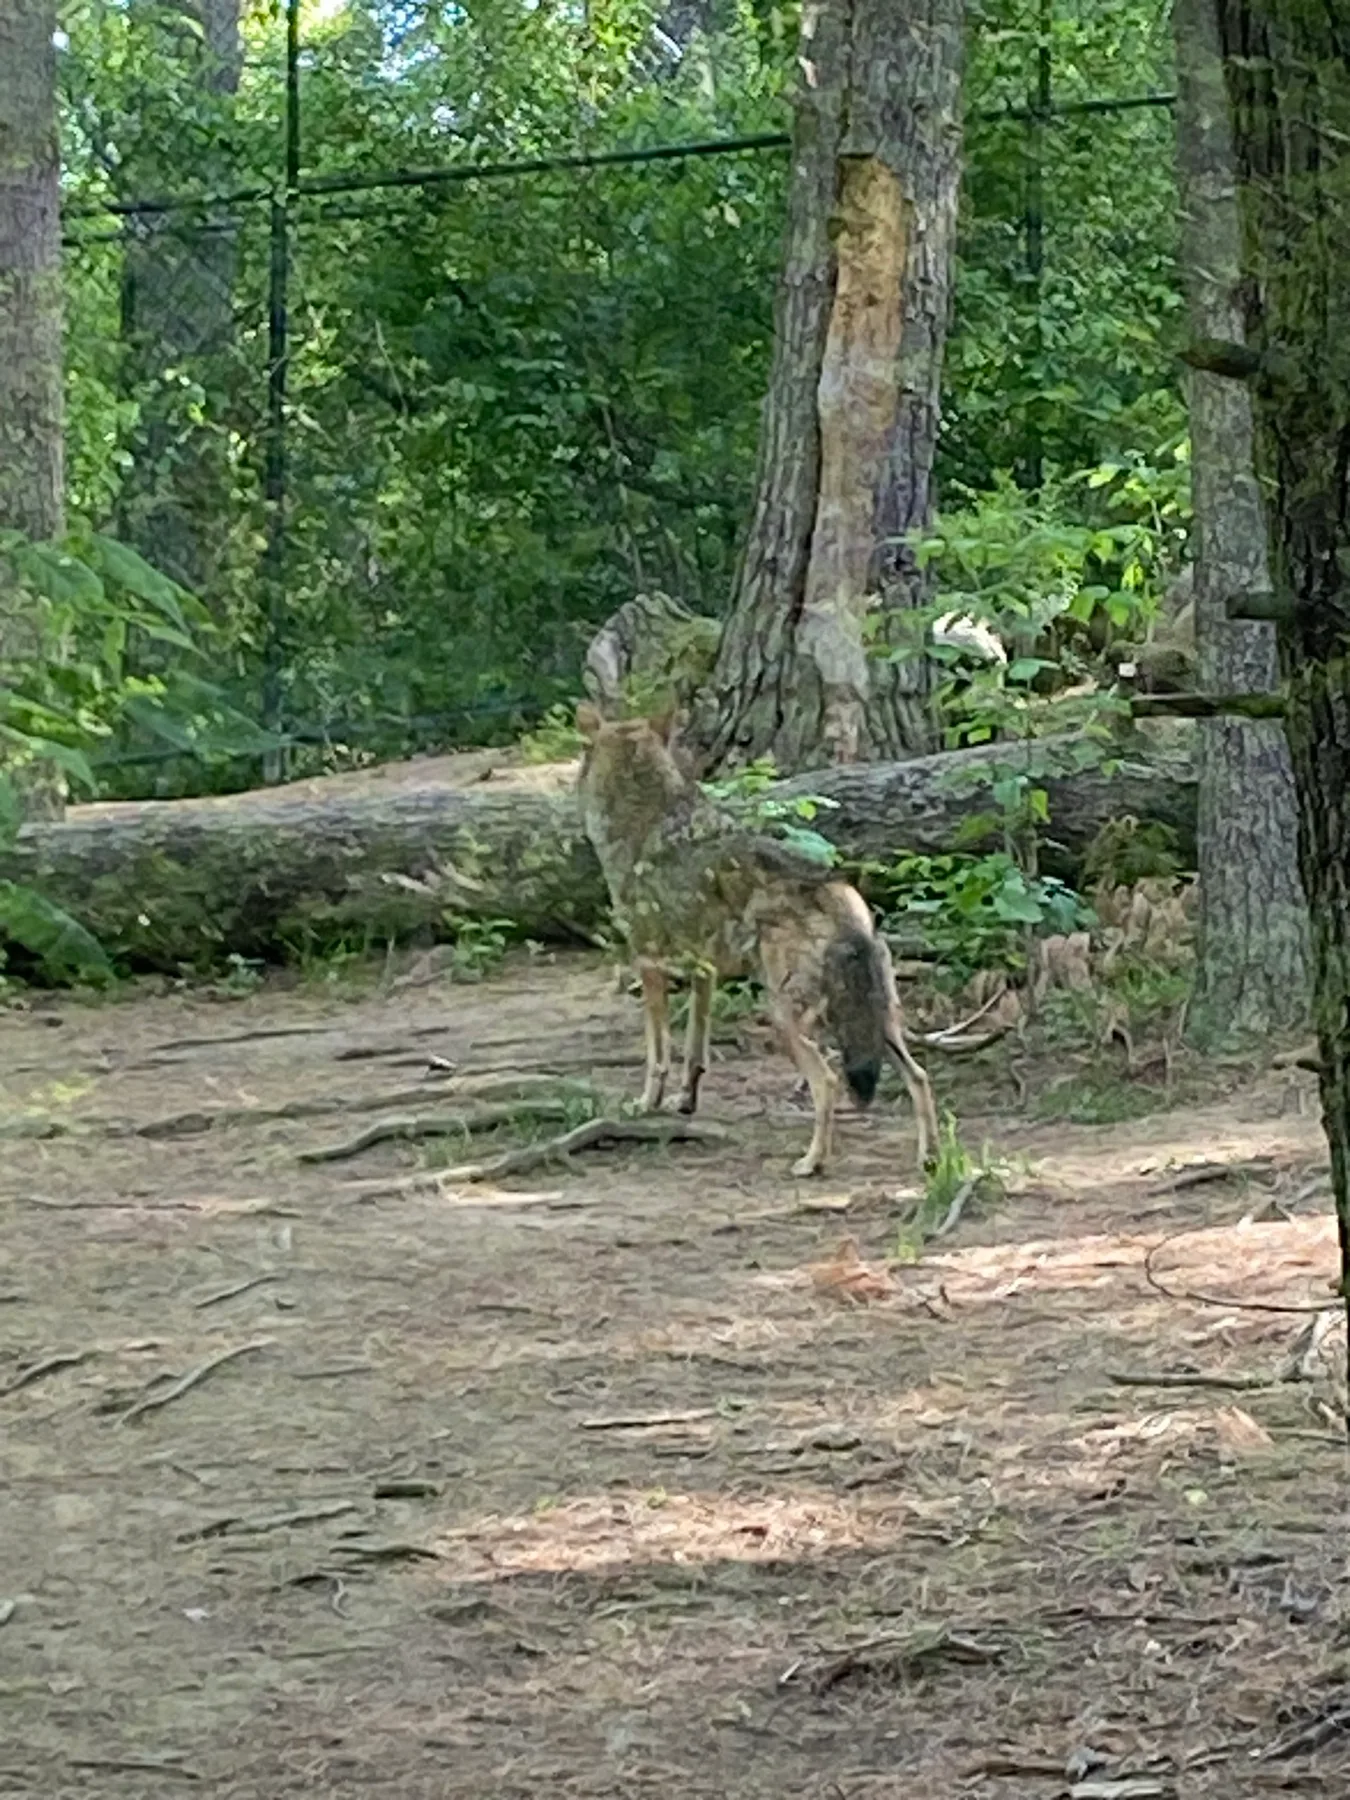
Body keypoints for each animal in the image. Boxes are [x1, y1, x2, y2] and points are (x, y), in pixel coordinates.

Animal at [575, 705, 938, 1177]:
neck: (647, 820)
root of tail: (834, 894)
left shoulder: (649, 964)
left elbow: (658, 1054)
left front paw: (645, 1104)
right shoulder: (703, 971)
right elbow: (695, 1050)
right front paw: (685, 1102)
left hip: (784, 1018)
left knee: (828, 1081)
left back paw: (811, 1162)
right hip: (877, 1025)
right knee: (920, 1077)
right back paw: (929, 1158)